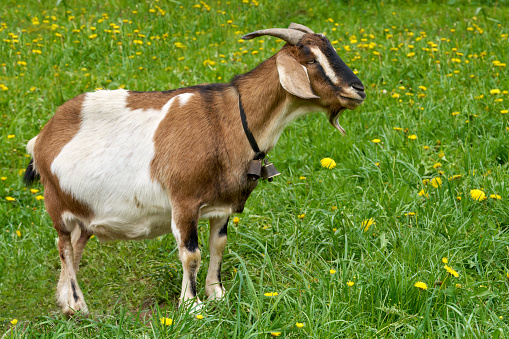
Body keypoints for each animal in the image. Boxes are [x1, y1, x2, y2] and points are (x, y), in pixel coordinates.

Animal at [24, 22, 366, 318]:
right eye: (310, 58)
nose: (358, 89)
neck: (229, 121)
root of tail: (40, 138)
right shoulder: (184, 201)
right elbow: (191, 253)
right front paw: (191, 306)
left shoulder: (223, 205)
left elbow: (219, 244)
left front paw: (217, 293)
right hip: (56, 204)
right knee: (63, 246)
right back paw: (79, 306)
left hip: (83, 208)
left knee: (75, 245)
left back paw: (65, 301)